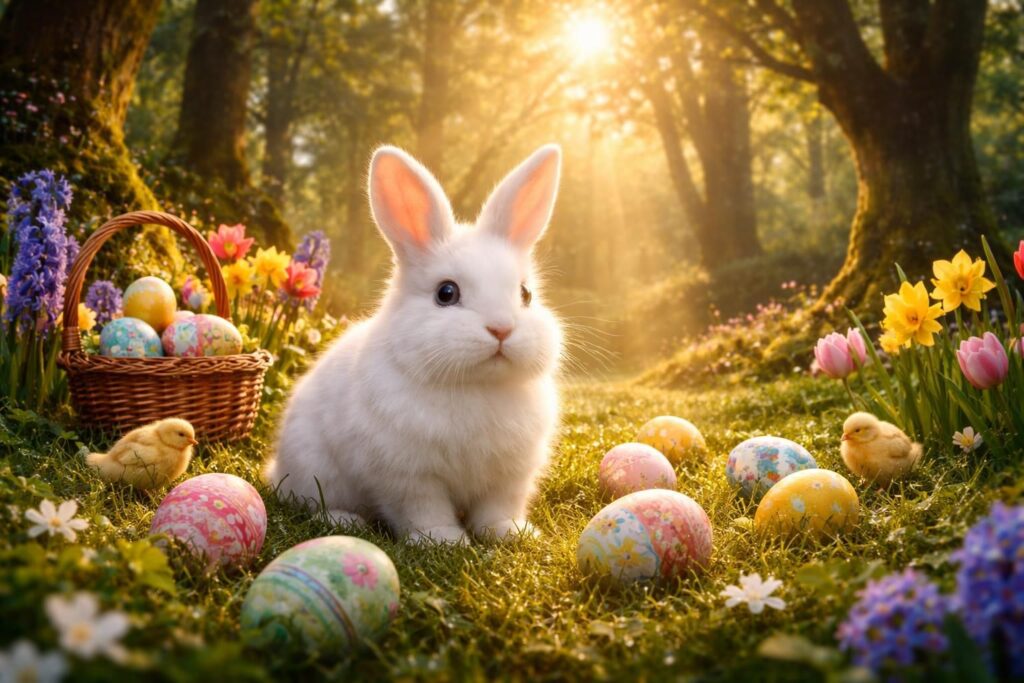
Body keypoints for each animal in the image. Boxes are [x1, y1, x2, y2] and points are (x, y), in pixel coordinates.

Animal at [265, 144, 563, 544]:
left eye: (526, 294)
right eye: (446, 293)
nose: (501, 329)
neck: (475, 385)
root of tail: (276, 469)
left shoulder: (509, 475)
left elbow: (497, 508)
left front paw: (512, 533)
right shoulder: (409, 476)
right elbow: (423, 510)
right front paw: (444, 540)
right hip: (317, 472)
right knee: (315, 504)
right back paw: (346, 521)